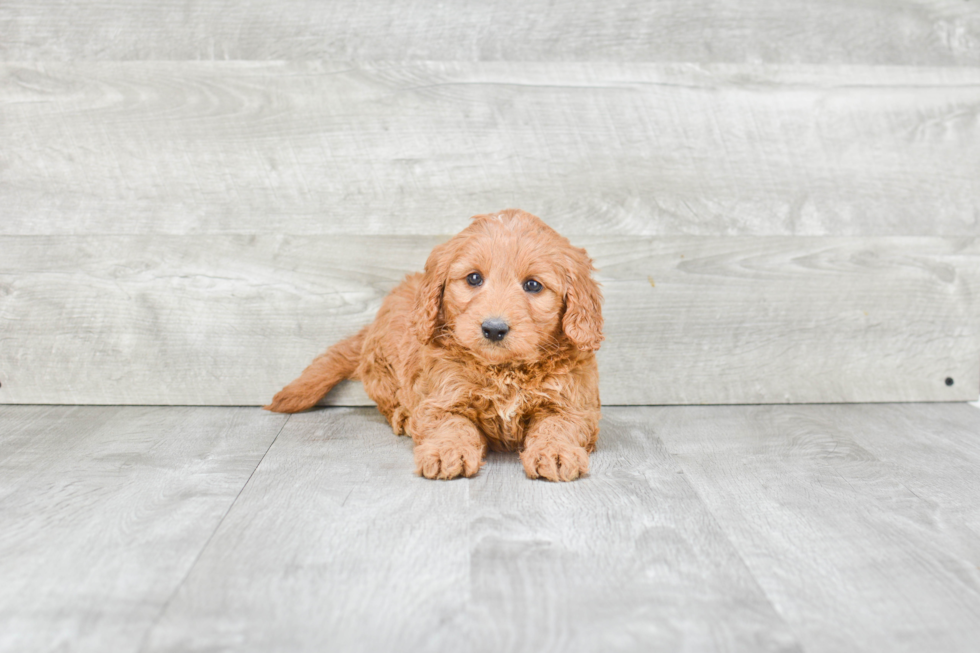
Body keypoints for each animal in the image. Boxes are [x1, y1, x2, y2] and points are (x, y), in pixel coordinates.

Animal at [268, 209, 604, 478]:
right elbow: (452, 425)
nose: (494, 329)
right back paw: (404, 417)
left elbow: (557, 426)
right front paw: (447, 451)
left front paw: (555, 453)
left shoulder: (573, 406)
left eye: (533, 285)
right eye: (473, 278)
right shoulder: (441, 400)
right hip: (382, 368)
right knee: (390, 401)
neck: (503, 370)